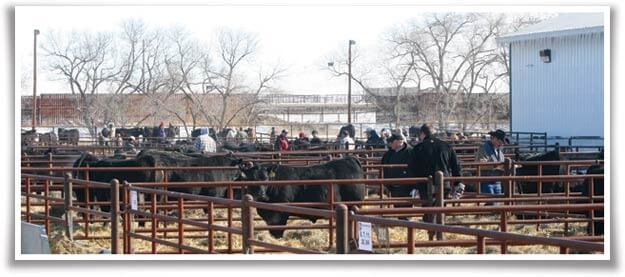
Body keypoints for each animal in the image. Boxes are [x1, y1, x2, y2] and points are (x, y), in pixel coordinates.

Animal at [238, 155, 366, 237]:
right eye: (251, 179)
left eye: (266, 179)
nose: (261, 194)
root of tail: (350, 159)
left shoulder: (280, 214)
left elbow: (278, 231)